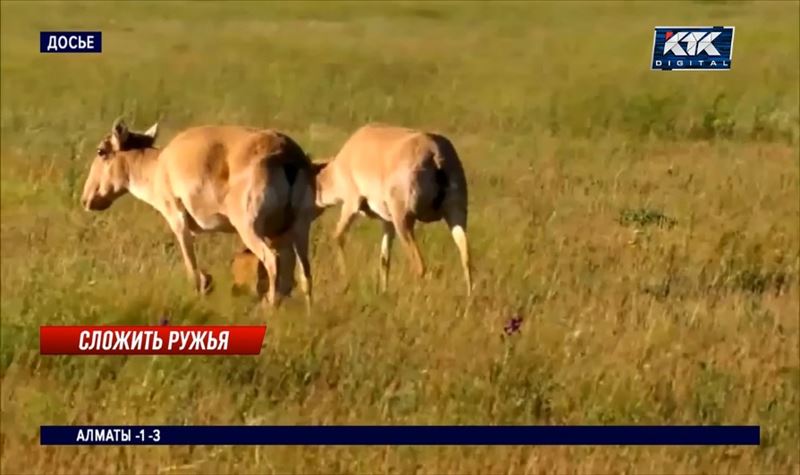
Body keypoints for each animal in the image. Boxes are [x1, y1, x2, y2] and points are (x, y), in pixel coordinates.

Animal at [79, 119, 316, 308]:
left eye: (101, 151)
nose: (86, 200)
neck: (159, 165)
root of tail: (287, 155)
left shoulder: (179, 222)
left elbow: (193, 271)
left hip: (250, 229)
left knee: (273, 260)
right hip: (298, 229)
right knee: (304, 273)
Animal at [312, 123, 472, 294]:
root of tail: (433, 151)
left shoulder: (351, 205)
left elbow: (337, 237)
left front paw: (346, 280)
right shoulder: (387, 222)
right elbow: (384, 259)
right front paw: (384, 291)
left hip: (404, 222)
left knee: (420, 265)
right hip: (456, 215)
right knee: (466, 258)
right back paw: (470, 295)